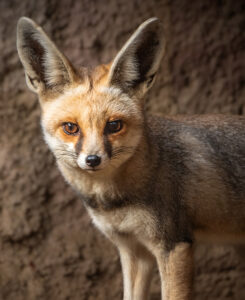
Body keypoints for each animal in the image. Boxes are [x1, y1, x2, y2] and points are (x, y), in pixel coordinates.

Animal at [16, 17, 245, 300]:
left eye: (114, 126)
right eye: (71, 127)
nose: (93, 159)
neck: (115, 200)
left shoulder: (174, 245)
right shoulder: (134, 251)